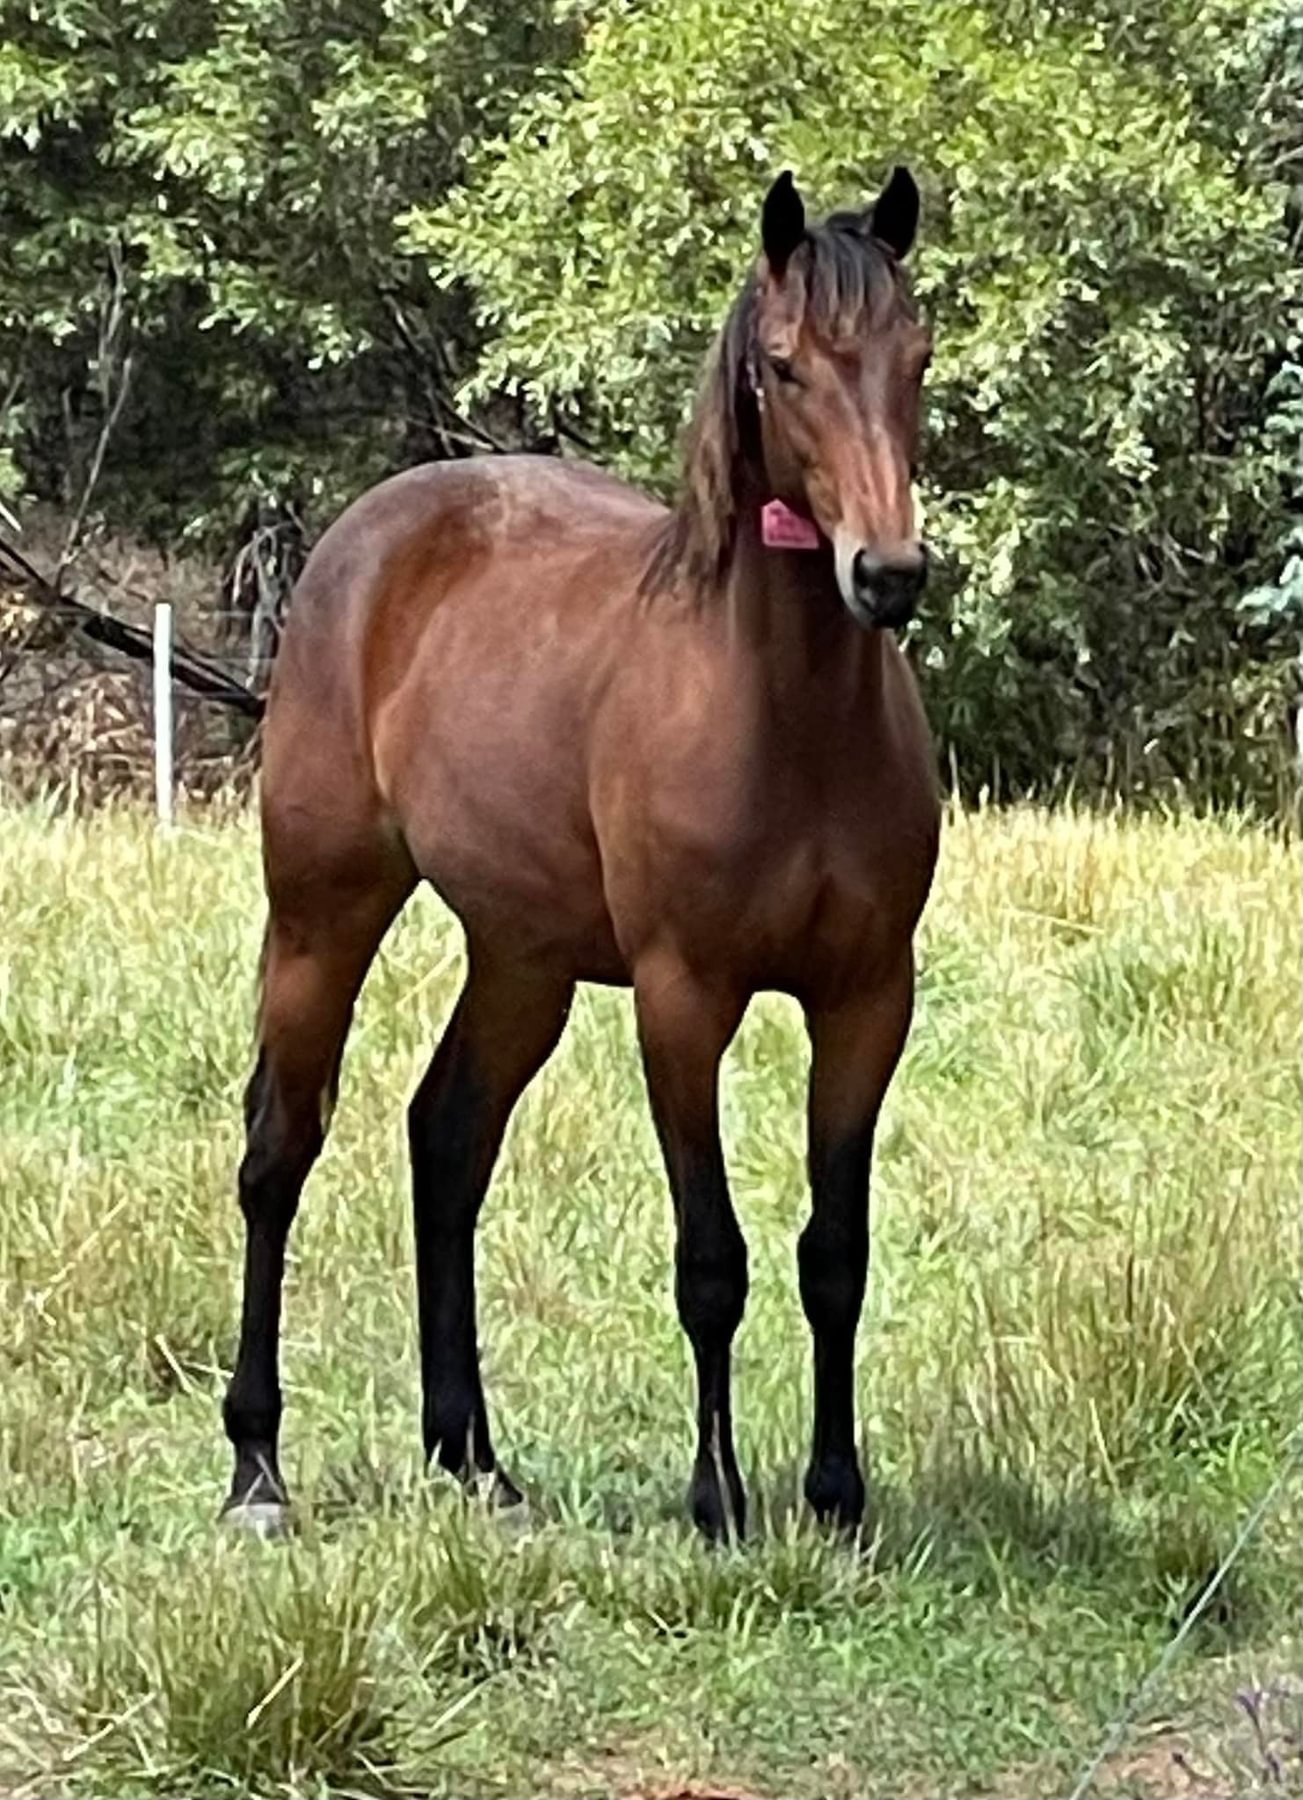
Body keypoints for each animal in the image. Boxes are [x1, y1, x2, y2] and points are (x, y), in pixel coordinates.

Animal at [221, 166, 939, 1542]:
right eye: (783, 365)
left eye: (916, 354)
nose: (886, 573)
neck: (786, 723)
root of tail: (370, 536)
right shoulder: (681, 999)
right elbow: (712, 1260)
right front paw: (718, 1499)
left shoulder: (868, 1001)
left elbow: (837, 1254)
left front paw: (836, 1498)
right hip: (322, 914)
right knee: (280, 1150)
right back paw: (256, 1470)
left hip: (523, 959)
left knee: (445, 1141)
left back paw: (471, 1459)